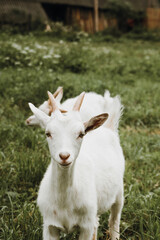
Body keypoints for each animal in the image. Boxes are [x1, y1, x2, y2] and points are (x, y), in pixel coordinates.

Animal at [28, 91, 125, 240]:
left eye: (81, 134)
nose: (64, 156)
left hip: (119, 191)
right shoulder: (49, 226)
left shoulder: (85, 227)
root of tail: (107, 128)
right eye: (48, 133)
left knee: (114, 219)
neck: (64, 202)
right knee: (97, 223)